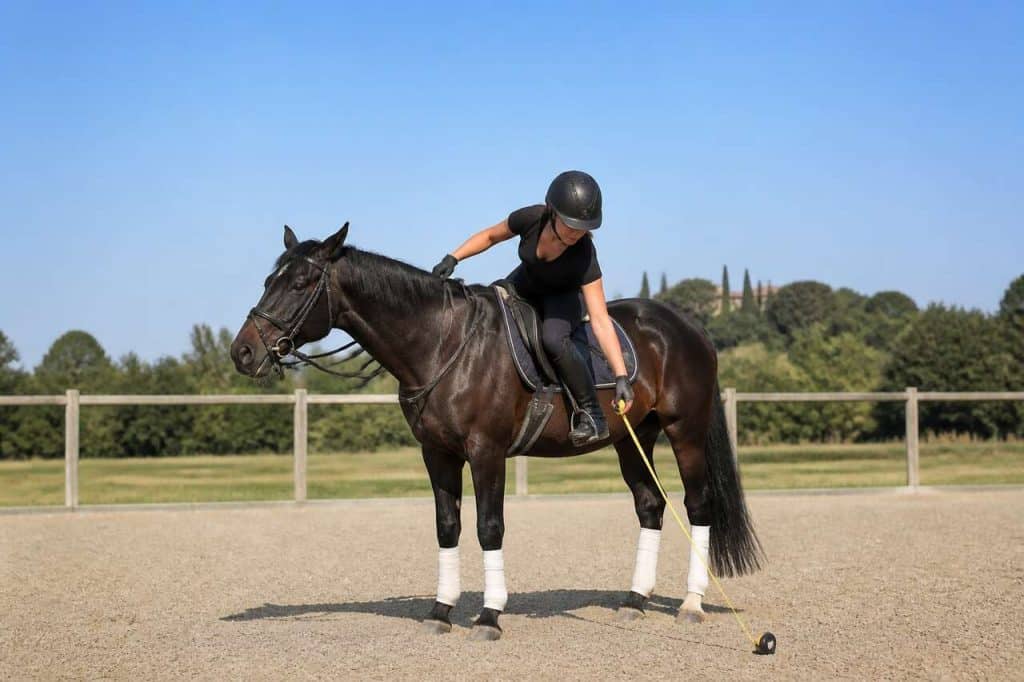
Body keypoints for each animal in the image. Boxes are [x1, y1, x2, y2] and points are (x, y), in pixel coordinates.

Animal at [230, 223, 763, 641]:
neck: (443, 344)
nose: (243, 352)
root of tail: (688, 326)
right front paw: (441, 611)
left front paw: (489, 615)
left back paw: (690, 604)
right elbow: (448, 526)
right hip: (634, 438)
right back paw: (634, 601)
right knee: (650, 505)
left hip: (684, 431)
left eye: (300, 283)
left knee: (698, 505)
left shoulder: (486, 452)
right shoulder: (437, 454)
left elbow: (490, 527)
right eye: (268, 280)